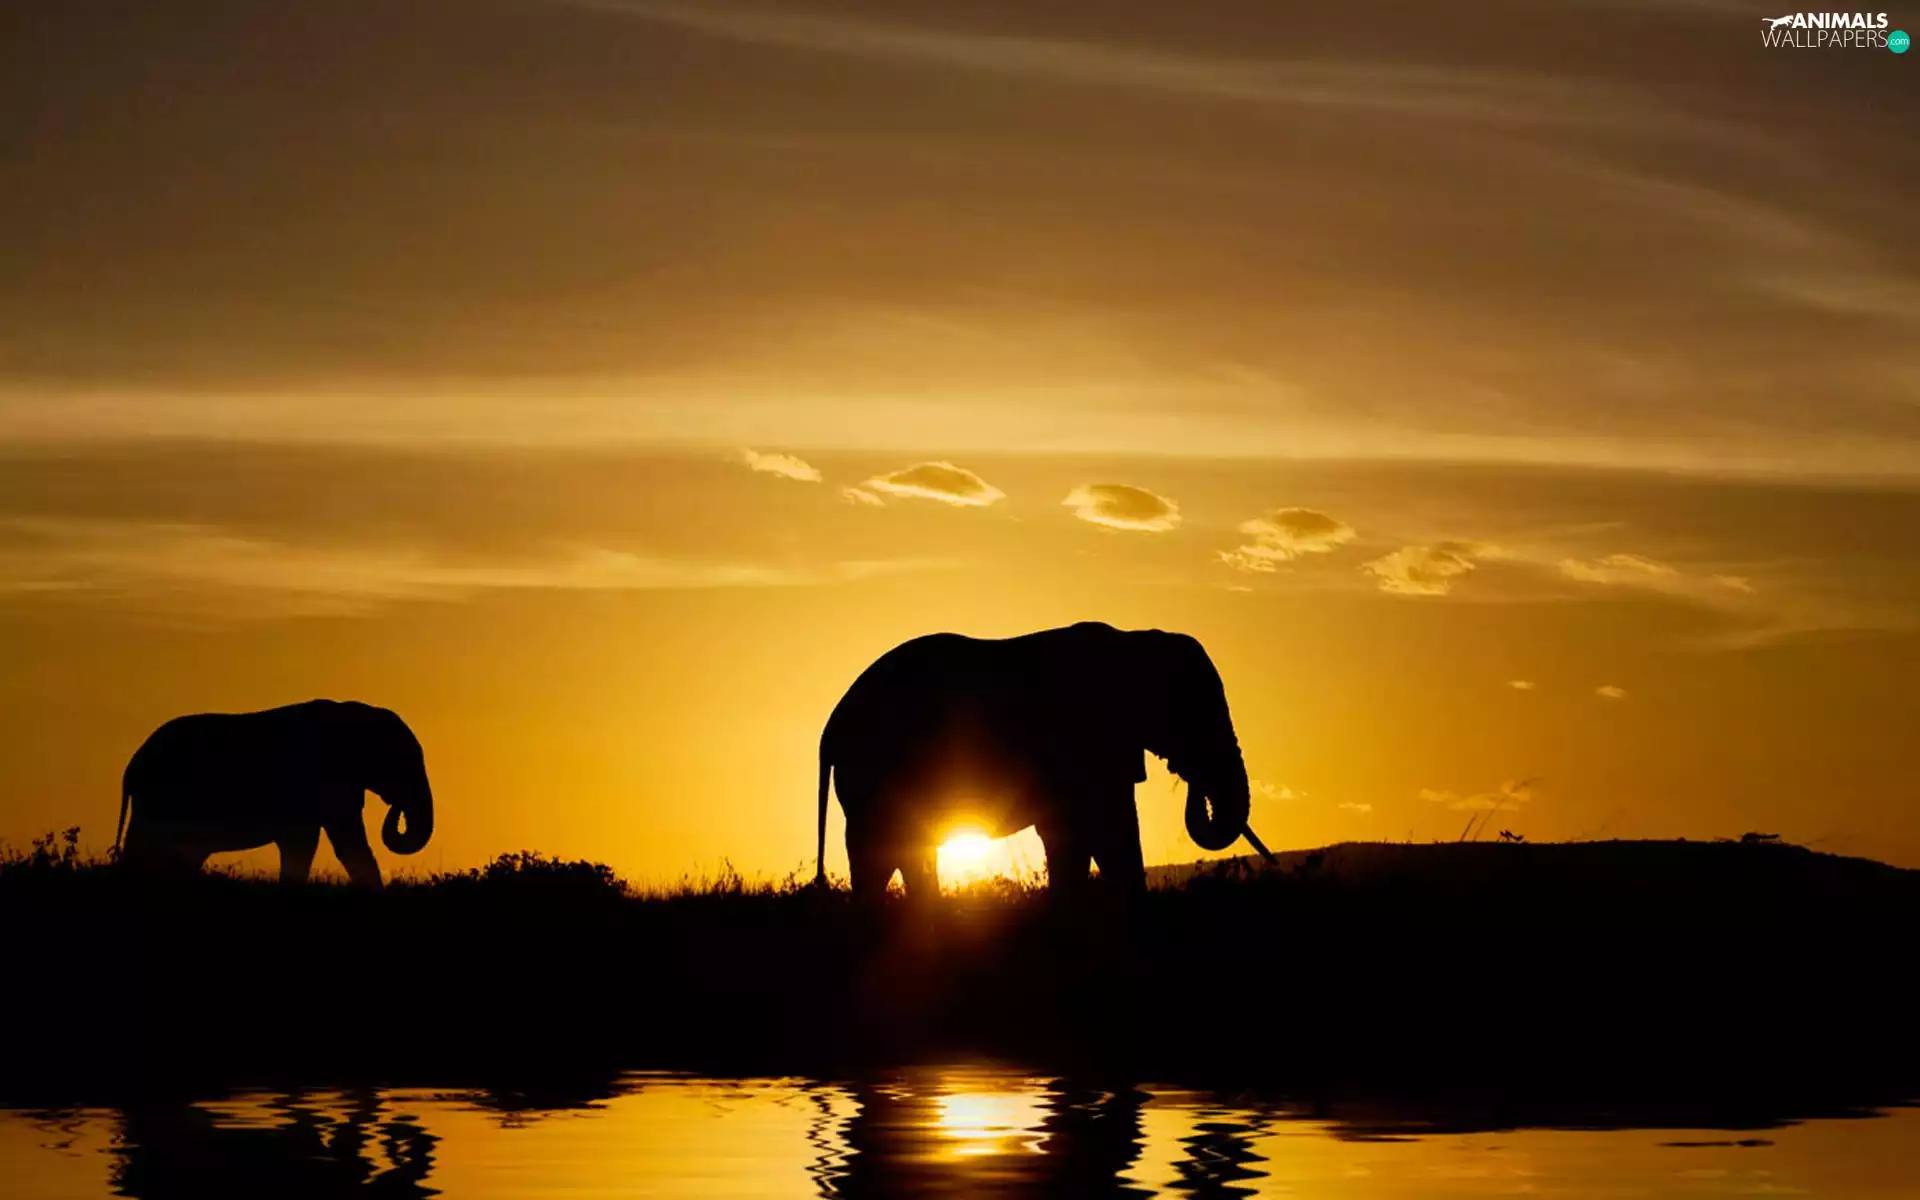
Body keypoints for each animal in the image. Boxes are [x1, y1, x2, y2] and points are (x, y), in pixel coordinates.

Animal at [814, 622, 1263, 900]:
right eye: (1190, 712)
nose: (1188, 777)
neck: (1133, 640)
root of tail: (832, 726)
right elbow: (1101, 832)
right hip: (873, 774)